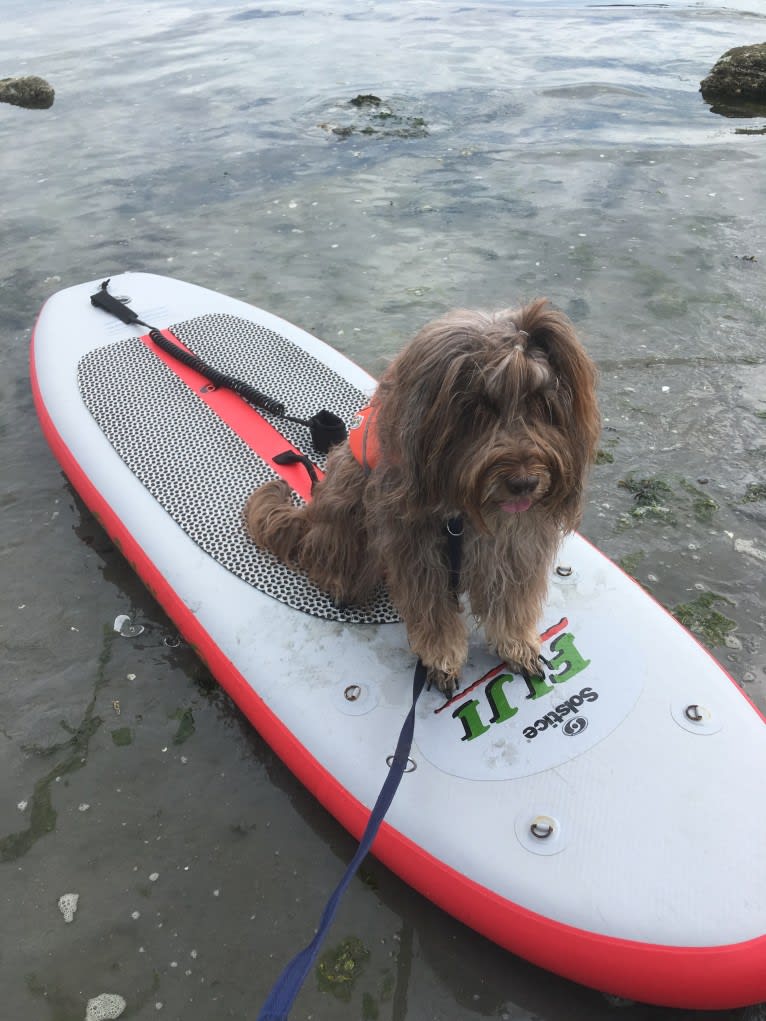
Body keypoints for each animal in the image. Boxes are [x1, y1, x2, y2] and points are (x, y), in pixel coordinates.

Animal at [244, 298, 600, 690]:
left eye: (540, 402)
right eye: (478, 406)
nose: (524, 483)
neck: (468, 511)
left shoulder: (515, 546)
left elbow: (510, 601)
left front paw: (518, 644)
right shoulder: (418, 550)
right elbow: (433, 613)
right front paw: (443, 658)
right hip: (347, 505)